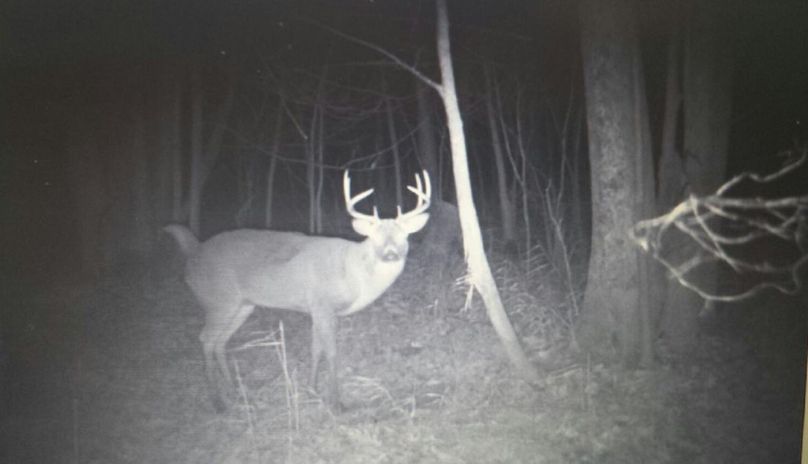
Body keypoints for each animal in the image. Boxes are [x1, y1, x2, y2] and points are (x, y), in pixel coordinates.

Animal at [164, 170, 430, 412]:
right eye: (374, 237)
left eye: (404, 236)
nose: (391, 253)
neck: (353, 274)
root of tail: (194, 252)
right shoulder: (323, 304)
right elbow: (331, 352)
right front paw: (337, 403)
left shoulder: (316, 309)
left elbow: (315, 349)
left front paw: (311, 389)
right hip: (219, 300)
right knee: (206, 338)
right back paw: (217, 402)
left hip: (242, 305)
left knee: (219, 341)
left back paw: (233, 390)